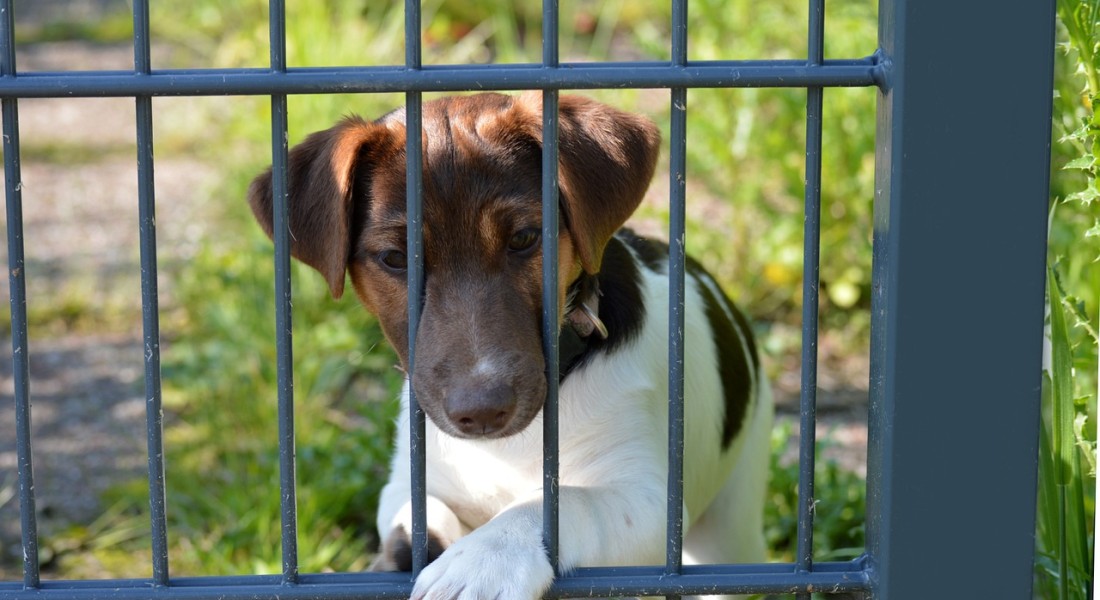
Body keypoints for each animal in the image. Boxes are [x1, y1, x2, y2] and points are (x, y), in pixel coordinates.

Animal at [251, 91, 774, 594]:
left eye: (525, 237)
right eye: (395, 258)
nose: (482, 412)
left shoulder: (649, 500)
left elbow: (559, 503)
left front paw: (483, 562)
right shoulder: (411, 484)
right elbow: (414, 526)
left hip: (732, 526)